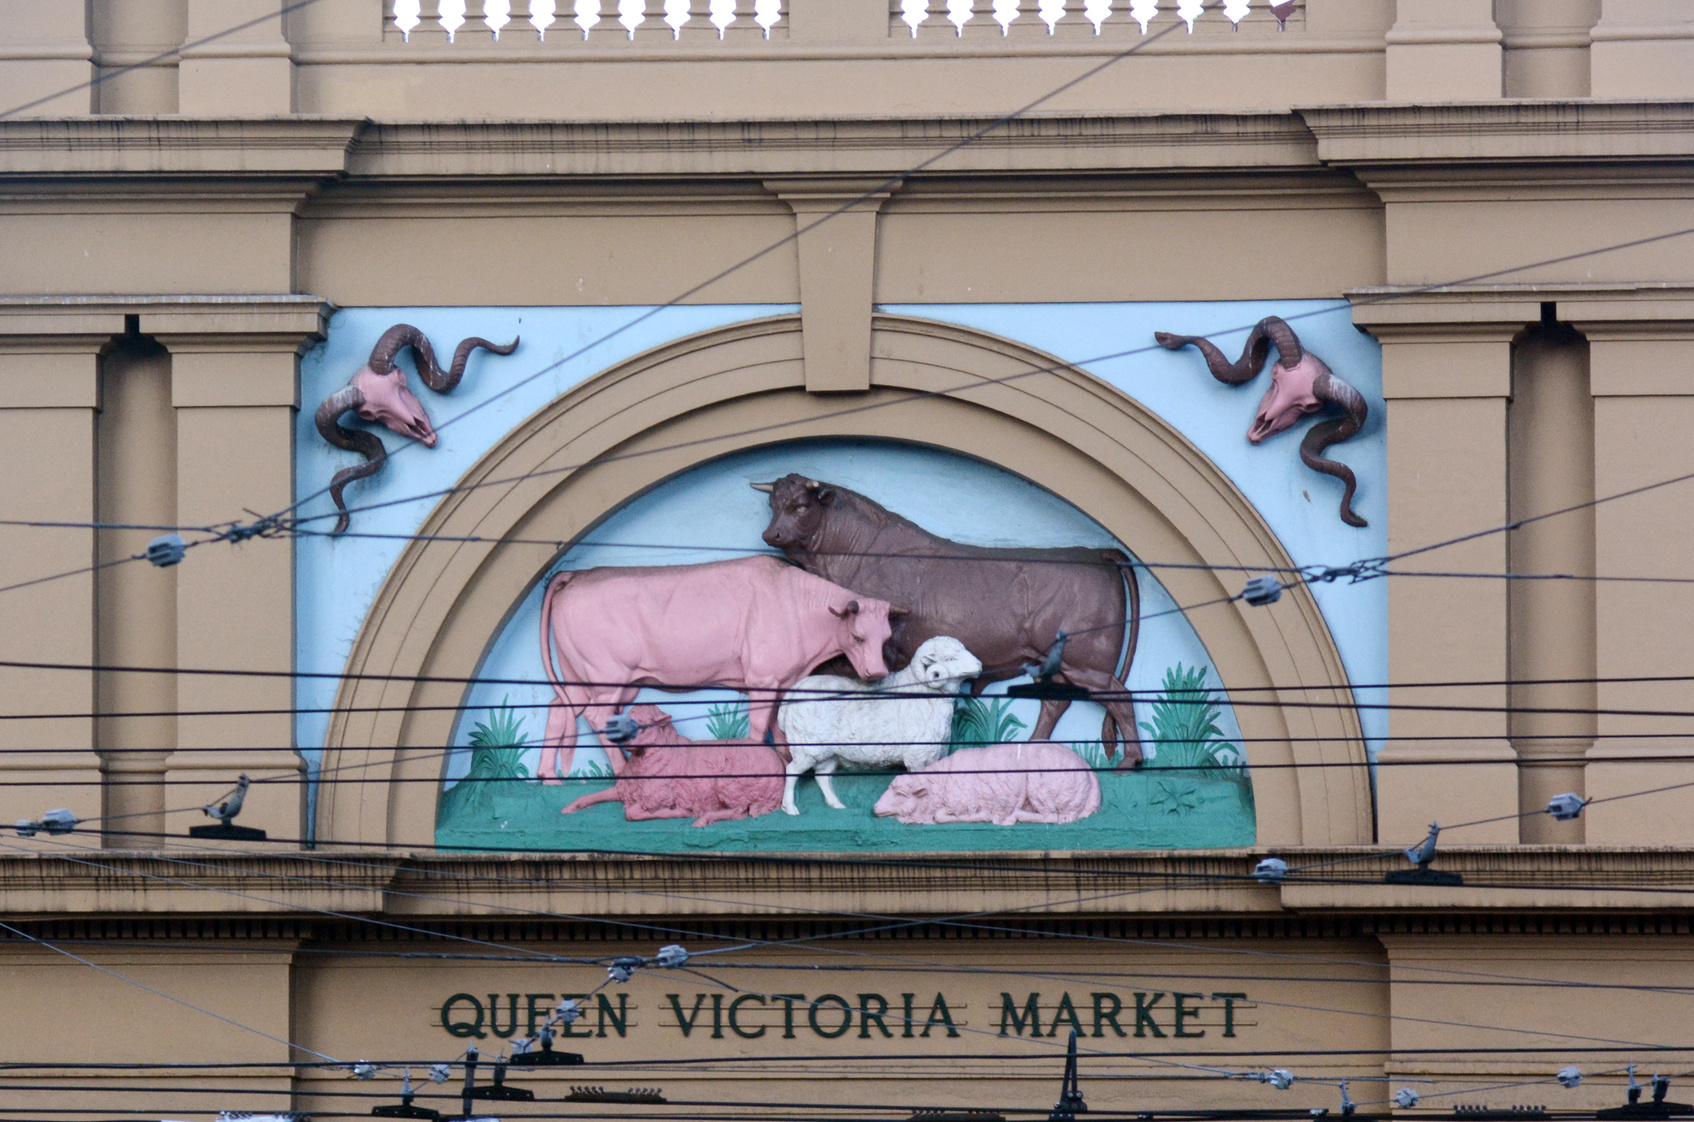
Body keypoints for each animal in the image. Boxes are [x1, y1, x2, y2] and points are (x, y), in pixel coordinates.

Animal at [562, 708, 786, 830]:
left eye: (643, 725)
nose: (622, 740)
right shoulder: (626, 789)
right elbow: (589, 796)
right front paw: (569, 808)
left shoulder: (656, 796)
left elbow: (631, 813)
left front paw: (677, 811)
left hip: (731, 785)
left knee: (740, 812)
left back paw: (703, 819)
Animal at [874, 742, 1097, 830]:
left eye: (901, 794)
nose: (875, 807)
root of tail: (1089, 772)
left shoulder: (965, 805)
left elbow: (943, 816)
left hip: (1038, 785)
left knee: (1051, 816)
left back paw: (1014, 816)